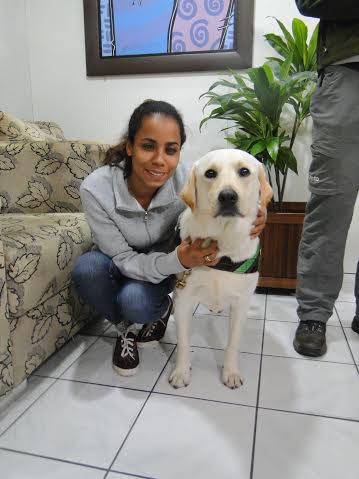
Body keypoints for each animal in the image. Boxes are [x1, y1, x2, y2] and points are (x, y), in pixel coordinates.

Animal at [170, 149, 272, 390]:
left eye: (244, 171)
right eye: (210, 173)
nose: (227, 196)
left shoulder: (241, 303)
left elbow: (233, 344)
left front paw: (231, 373)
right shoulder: (183, 298)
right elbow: (184, 341)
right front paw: (181, 371)